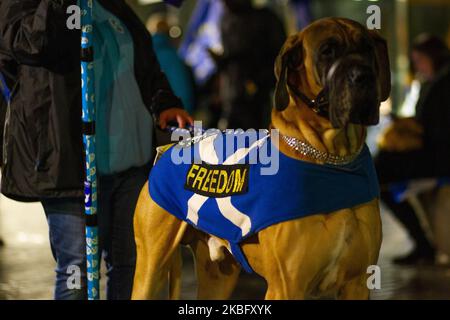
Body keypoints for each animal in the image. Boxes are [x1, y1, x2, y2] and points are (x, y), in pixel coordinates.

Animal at [131, 17, 390, 300]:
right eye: (327, 51)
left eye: (366, 47)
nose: (363, 76)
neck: (332, 159)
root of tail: (172, 147)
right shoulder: (286, 287)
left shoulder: (357, 284)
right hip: (150, 268)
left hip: (217, 277)